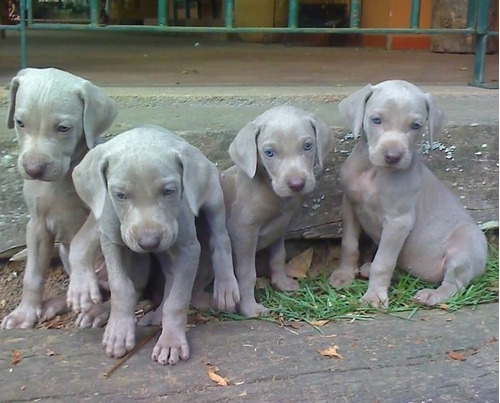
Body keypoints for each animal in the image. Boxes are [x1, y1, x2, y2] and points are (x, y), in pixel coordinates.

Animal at [1, 68, 116, 330]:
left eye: (64, 128)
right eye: (20, 123)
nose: (33, 169)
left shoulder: (102, 214)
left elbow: (81, 243)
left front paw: (82, 288)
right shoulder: (37, 226)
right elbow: (32, 274)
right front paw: (25, 313)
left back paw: (97, 311)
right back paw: (59, 303)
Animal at [73, 124, 240, 364]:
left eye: (169, 191)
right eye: (120, 195)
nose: (149, 242)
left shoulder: (188, 248)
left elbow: (177, 299)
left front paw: (171, 342)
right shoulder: (111, 242)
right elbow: (121, 287)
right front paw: (118, 332)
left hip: (213, 199)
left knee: (220, 239)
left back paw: (225, 286)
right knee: (152, 281)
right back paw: (102, 312)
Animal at [224, 105, 334, 318]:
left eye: (308, 146)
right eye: (269, 152)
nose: (296, 184)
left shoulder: (280, 227)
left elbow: (278, 257)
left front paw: (282, 283)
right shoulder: (242, 231)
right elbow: (246, 273)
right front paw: (249, 308)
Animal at [328, 80, 488, 310]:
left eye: (416, 126)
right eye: (376, 120)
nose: (393, 156)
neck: (373, 172)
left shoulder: (398, 222)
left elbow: (383, 262)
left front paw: (374, 297)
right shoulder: (349, 204)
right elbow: (349, 244)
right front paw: (344, 275)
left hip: (464, 246)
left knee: (454, 284)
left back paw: (432, 295)